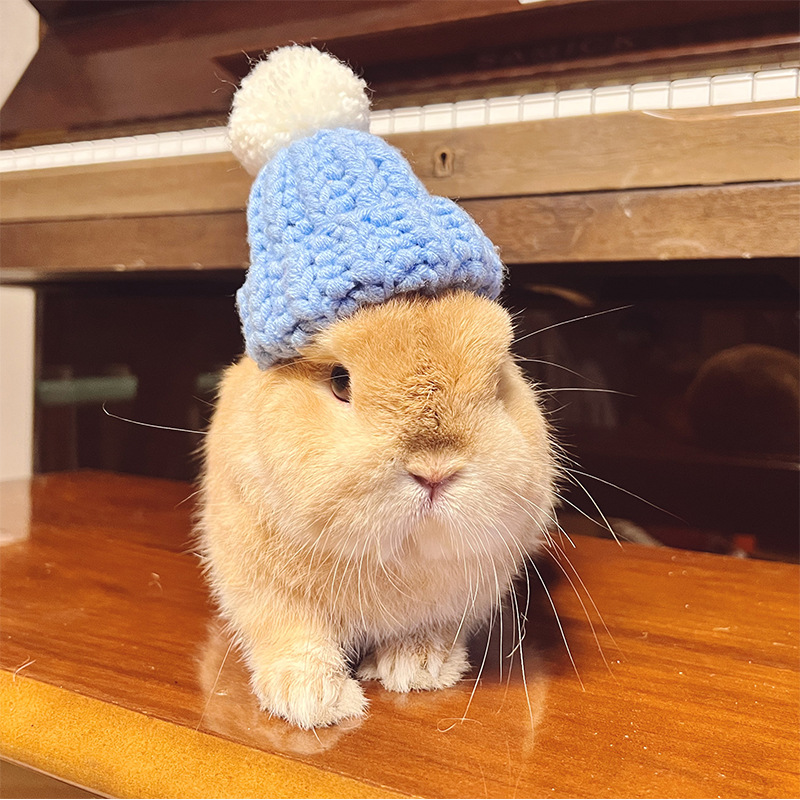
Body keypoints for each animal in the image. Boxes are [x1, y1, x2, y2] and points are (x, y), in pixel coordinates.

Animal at [197, 46, 557, 728]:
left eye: (499, 376)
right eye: (339, 381)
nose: (435, 471)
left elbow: (427, 630)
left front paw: (417, 669)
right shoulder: (262, 587)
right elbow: (293, 634)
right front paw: (313, 701)